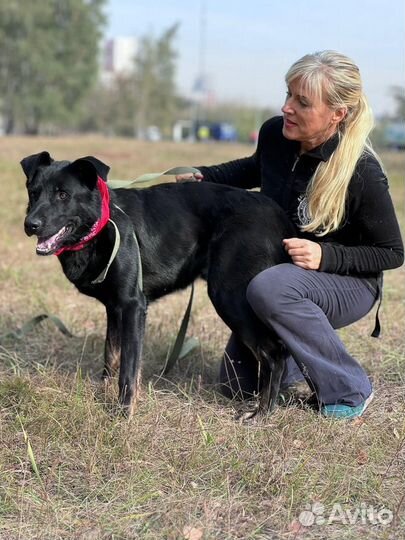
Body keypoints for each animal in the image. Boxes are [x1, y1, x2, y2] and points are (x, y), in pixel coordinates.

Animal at [21, 152, 294, 418]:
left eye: (63, 195)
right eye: (33, 192)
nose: (29, 225)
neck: (101, 225)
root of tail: (277, 213)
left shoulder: (133, 306)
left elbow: (129, 368)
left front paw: (123, 413)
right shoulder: (114, 308)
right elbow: (111, 356)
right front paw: (102, 395)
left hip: (229, 296)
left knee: (274, 354)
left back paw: (263, 413)